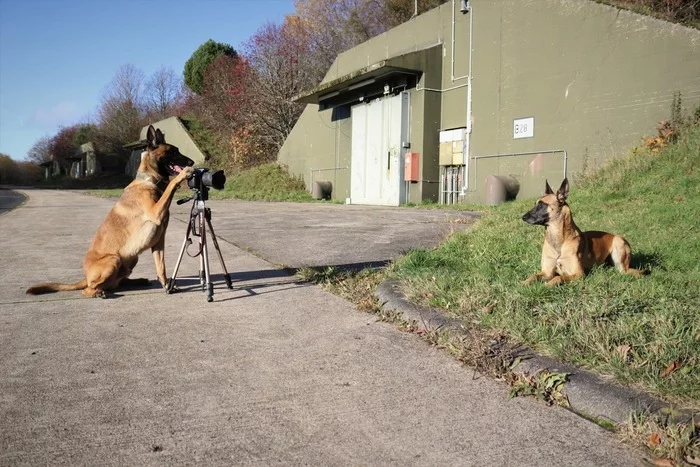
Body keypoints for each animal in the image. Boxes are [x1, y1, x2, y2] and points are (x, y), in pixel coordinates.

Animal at [27, 126, 194, 298]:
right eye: (172, 152)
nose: (191, 162)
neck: (149, 180)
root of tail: (86, 277)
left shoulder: (159, 241)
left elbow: (161, 267)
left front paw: (167, 286)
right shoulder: (155, 212)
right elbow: (170, 187)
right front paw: (183, 174)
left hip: (131, 259)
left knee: (117, 282)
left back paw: (137, 280)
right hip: (114, 260)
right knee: (89, 288)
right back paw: (97, 292)